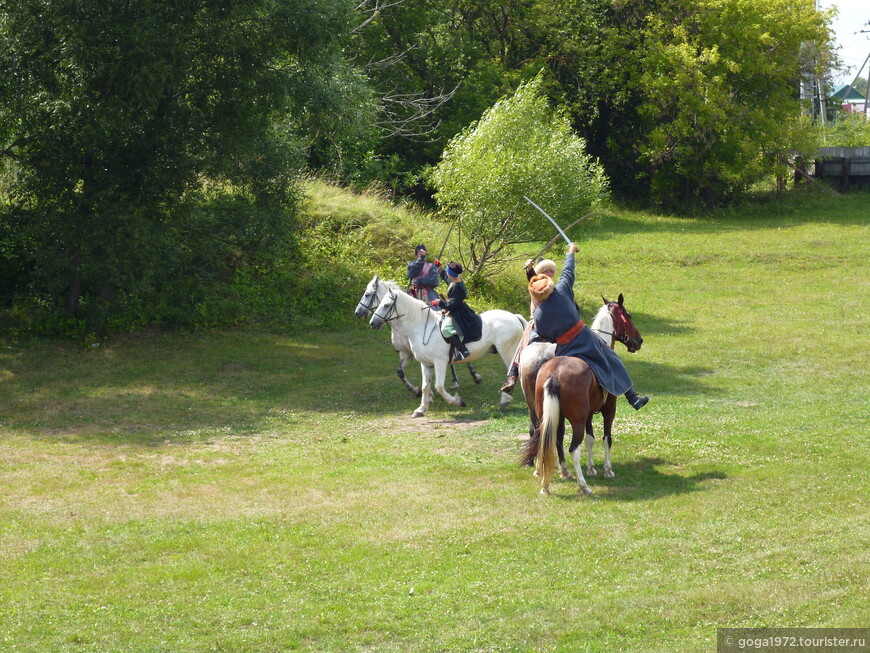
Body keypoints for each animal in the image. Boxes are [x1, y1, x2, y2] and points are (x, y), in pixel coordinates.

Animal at [352, 274, 484, 392]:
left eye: (367, 294)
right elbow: (400, 372)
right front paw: (415, 390)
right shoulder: (405, 353)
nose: (357, 313)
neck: (402, 326)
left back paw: (468, 377)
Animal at [372, 280, 528, 418]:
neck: (422, 327)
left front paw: (458, 402)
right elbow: (425, 386)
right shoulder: (426, 364)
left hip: (507, 352)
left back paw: (506, 400)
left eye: (386, 305)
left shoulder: (440, 362)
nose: (373, 323)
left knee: (513, 375)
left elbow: (439, 386)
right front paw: (421, 409)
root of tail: (514, 317)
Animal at [520, 356, 616, 494]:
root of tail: (555, 374)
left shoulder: (588, 414)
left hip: (545, 419)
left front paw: (591, 468)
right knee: (574, 450)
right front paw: (608, 470)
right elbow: (607, 439)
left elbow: (590, 439)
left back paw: (546, 485)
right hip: (577, 423)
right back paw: (583, 486)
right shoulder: (609, 410)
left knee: (545, 443)